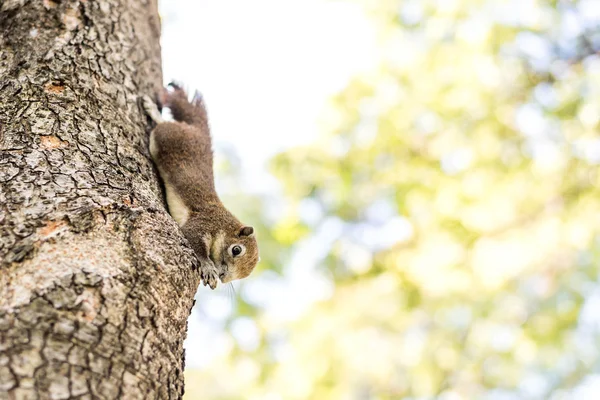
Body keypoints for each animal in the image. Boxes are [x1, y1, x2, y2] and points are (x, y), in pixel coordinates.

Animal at [143, 85, 260, 290]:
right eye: (236, 250)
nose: (223, 276)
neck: (224, 224)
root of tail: (201, 135)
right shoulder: (203, 222)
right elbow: (195, 243)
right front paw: (208, 268)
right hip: (169, 137)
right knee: (163, 125)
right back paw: (153, 111)